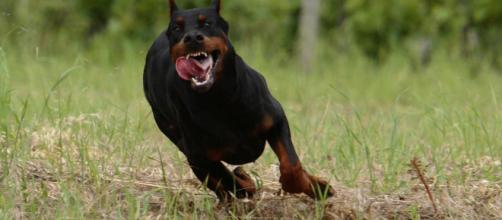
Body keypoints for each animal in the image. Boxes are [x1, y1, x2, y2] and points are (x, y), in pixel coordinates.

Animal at [143, 0, 336, 200]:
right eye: (176, 28)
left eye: (207, 23)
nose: (192, 38)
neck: (219, 97)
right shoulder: (198, 155)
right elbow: (229, 179)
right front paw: (245, 181)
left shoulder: (276, 119)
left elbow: (291, 166)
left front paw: (315, 187)